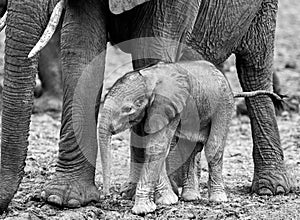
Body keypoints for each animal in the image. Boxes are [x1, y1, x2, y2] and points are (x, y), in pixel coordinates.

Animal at [98, 59, 234, 213]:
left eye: (128, 109)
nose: (107, 197)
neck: (149, 77)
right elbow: (143, 147)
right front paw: (167, 200)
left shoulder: (169, 107)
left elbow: (156, 147)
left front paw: (143, 209)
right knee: (188, 149)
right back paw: (190, 197)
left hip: (223, 104)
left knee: (213, 147)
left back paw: (218, 199)